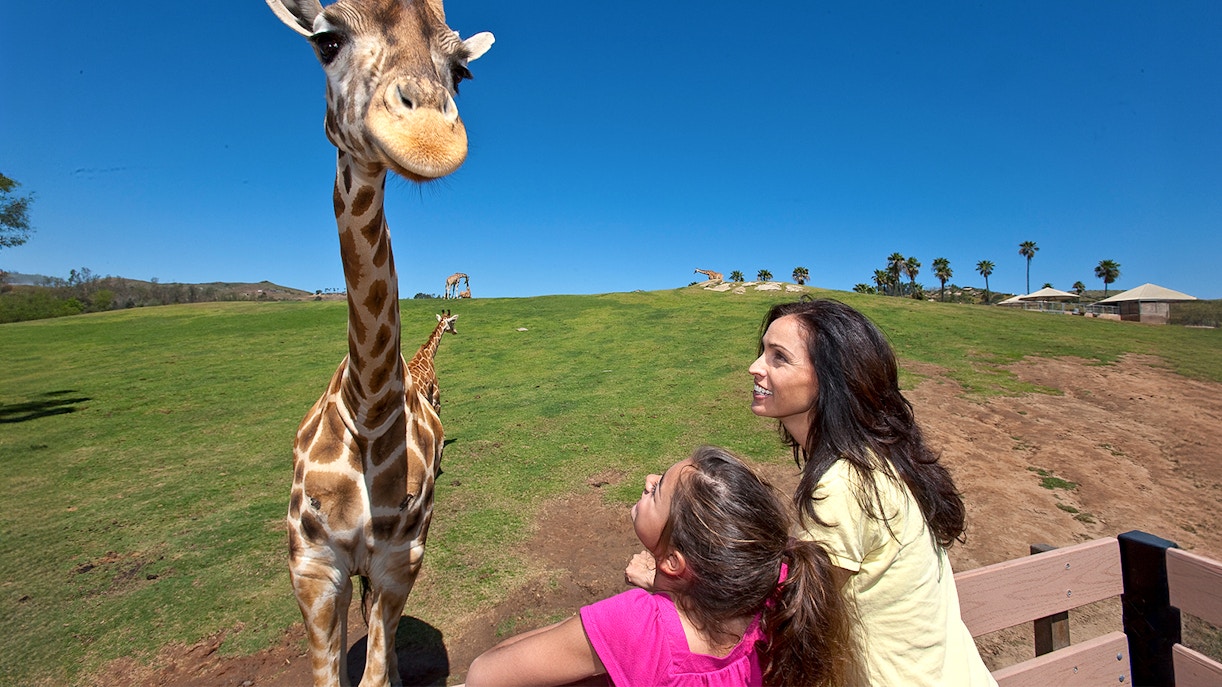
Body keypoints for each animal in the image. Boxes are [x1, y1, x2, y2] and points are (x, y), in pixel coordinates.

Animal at [266, 1, 493, 685]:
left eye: (461, 70)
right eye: (326, 40)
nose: (429, 138)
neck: (367, 406)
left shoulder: (401, 558)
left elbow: (373, 669)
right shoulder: (312, 569)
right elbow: (332, 671)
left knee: (382, 641)